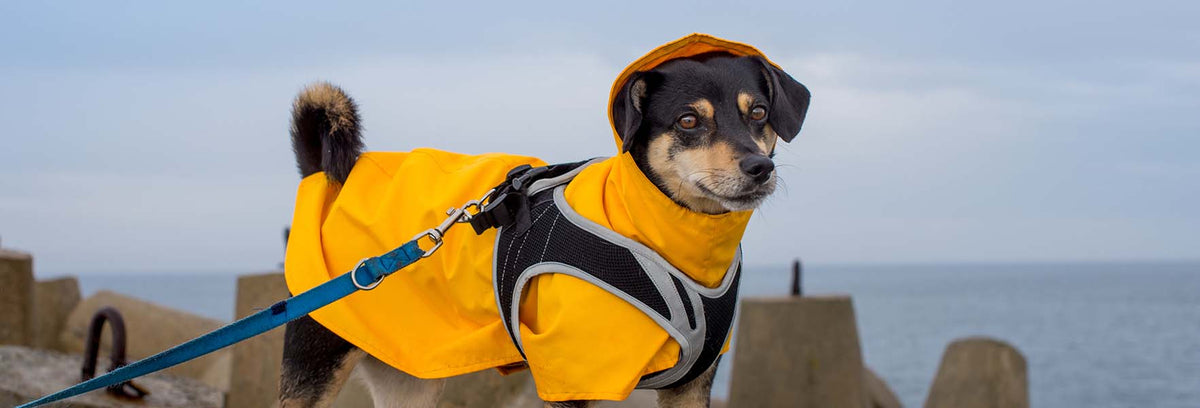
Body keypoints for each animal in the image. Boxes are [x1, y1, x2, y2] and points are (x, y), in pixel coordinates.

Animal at [276, 35, 811, 408]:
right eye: (687, 121)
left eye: (759, 113)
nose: (759, 168)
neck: (660, 236)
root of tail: (327, 178)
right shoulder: (574, 380)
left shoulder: (691, 385)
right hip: (317, 360)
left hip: (408, 375)